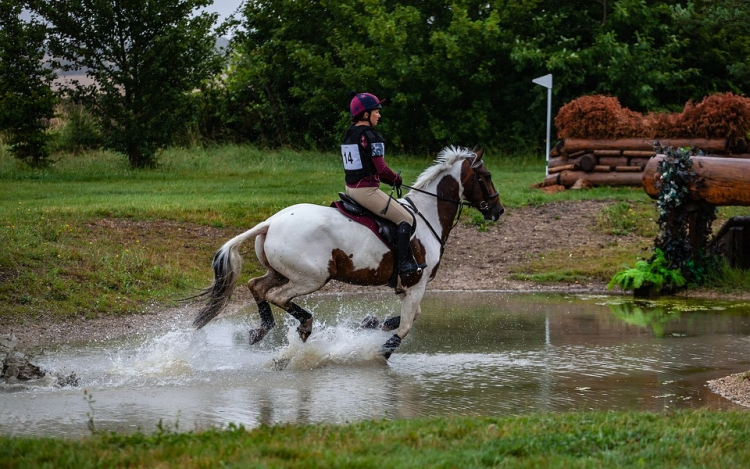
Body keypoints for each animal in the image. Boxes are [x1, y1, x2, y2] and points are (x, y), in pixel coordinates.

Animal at [194, 144, 506, 356]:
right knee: (277, 296)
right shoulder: (417, 283)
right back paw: (305, 324)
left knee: (256, 286)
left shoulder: (406, 286)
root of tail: (270, 222)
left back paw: (261, 330)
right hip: (312, 277)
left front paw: (371, 322)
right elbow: (406, 325)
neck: (428, 214)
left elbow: (407, 317)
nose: (498, 210)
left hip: (281, 272)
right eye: (487, 175)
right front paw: (381, 353)